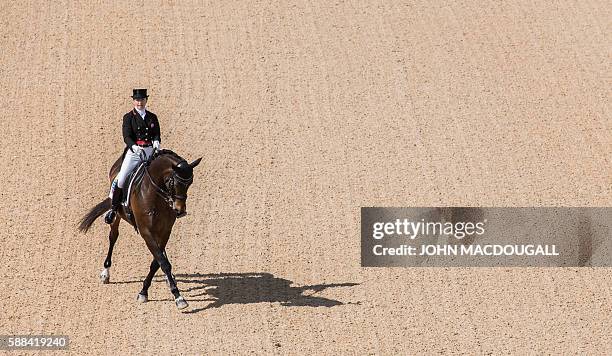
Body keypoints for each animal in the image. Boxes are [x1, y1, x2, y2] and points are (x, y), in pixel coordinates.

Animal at [77, 148, 202, 308]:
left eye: (190, 182)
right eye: (171, 181)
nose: (179, 210)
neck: (155, 194)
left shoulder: (165, 230)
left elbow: (157, 262)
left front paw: (150, 290)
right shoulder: (146, 231)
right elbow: (162, 262)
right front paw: (177, 297)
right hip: (117, 215)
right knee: (113, 237)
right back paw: (105, 273)